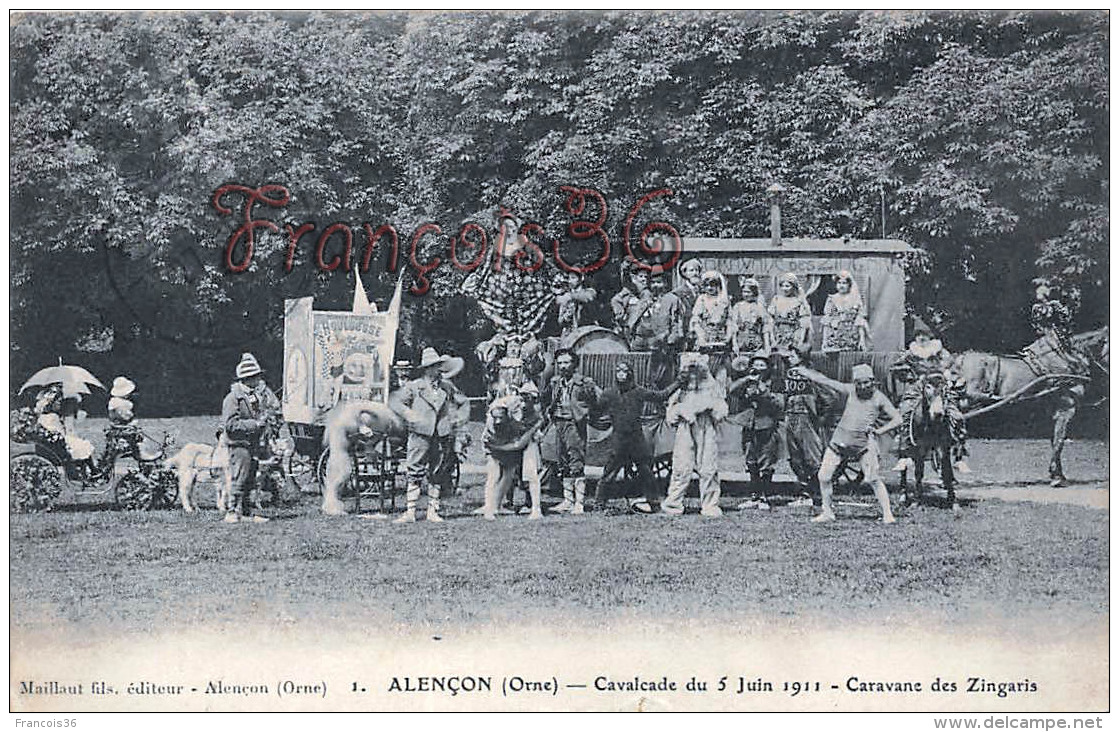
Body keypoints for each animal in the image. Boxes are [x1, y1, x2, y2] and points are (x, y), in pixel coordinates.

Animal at [895, 376, 957, 512]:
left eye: (945, 389)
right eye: (927, 387)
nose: (938, 414)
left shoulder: (943, 447)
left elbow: (947, 471)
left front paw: (953, 501)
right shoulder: (919, 448)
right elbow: (918, 473)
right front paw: (917, 501)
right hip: (903, 446)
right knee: (903, 469)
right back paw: (903, 498)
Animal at [953, 326, 1110, 488]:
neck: (1066, 358)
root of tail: (961, 359)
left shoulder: (1053, 414)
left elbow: (1054, 441)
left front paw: (1057, 474)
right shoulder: (1065, 410)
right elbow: (1059, 442)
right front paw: (1057, 477)